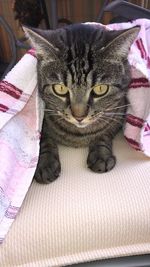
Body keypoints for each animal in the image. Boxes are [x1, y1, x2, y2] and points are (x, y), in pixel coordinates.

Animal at [23, 23, 139, 184]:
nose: (79, 116)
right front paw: (45, 164)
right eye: (60, 89)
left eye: (100, 89)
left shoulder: (120, 114)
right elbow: (43, 140)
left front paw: (101, 154)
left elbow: (104, 133)